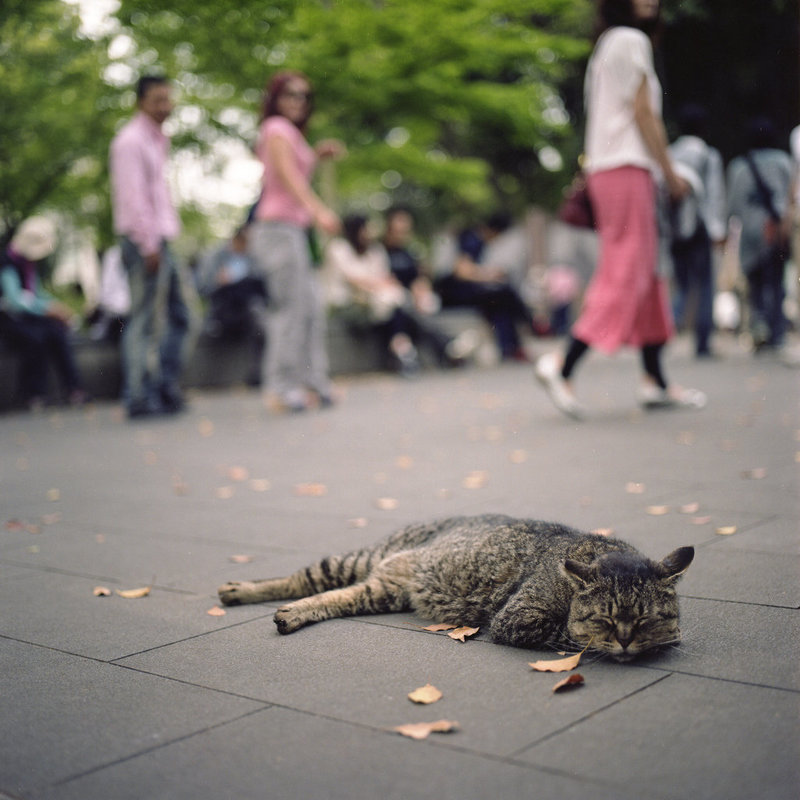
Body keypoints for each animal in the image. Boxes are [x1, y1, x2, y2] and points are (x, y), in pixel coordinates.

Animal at [219, 512, 692, 664]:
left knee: (334, 597)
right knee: (304, 577)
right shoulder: (517, 616)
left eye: (645, 618)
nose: (626, 641)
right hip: (360, 560)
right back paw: (240, 590)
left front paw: (663, 639)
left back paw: (290, 613)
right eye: (606, 620)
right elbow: (565, 631)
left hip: (380, 591)